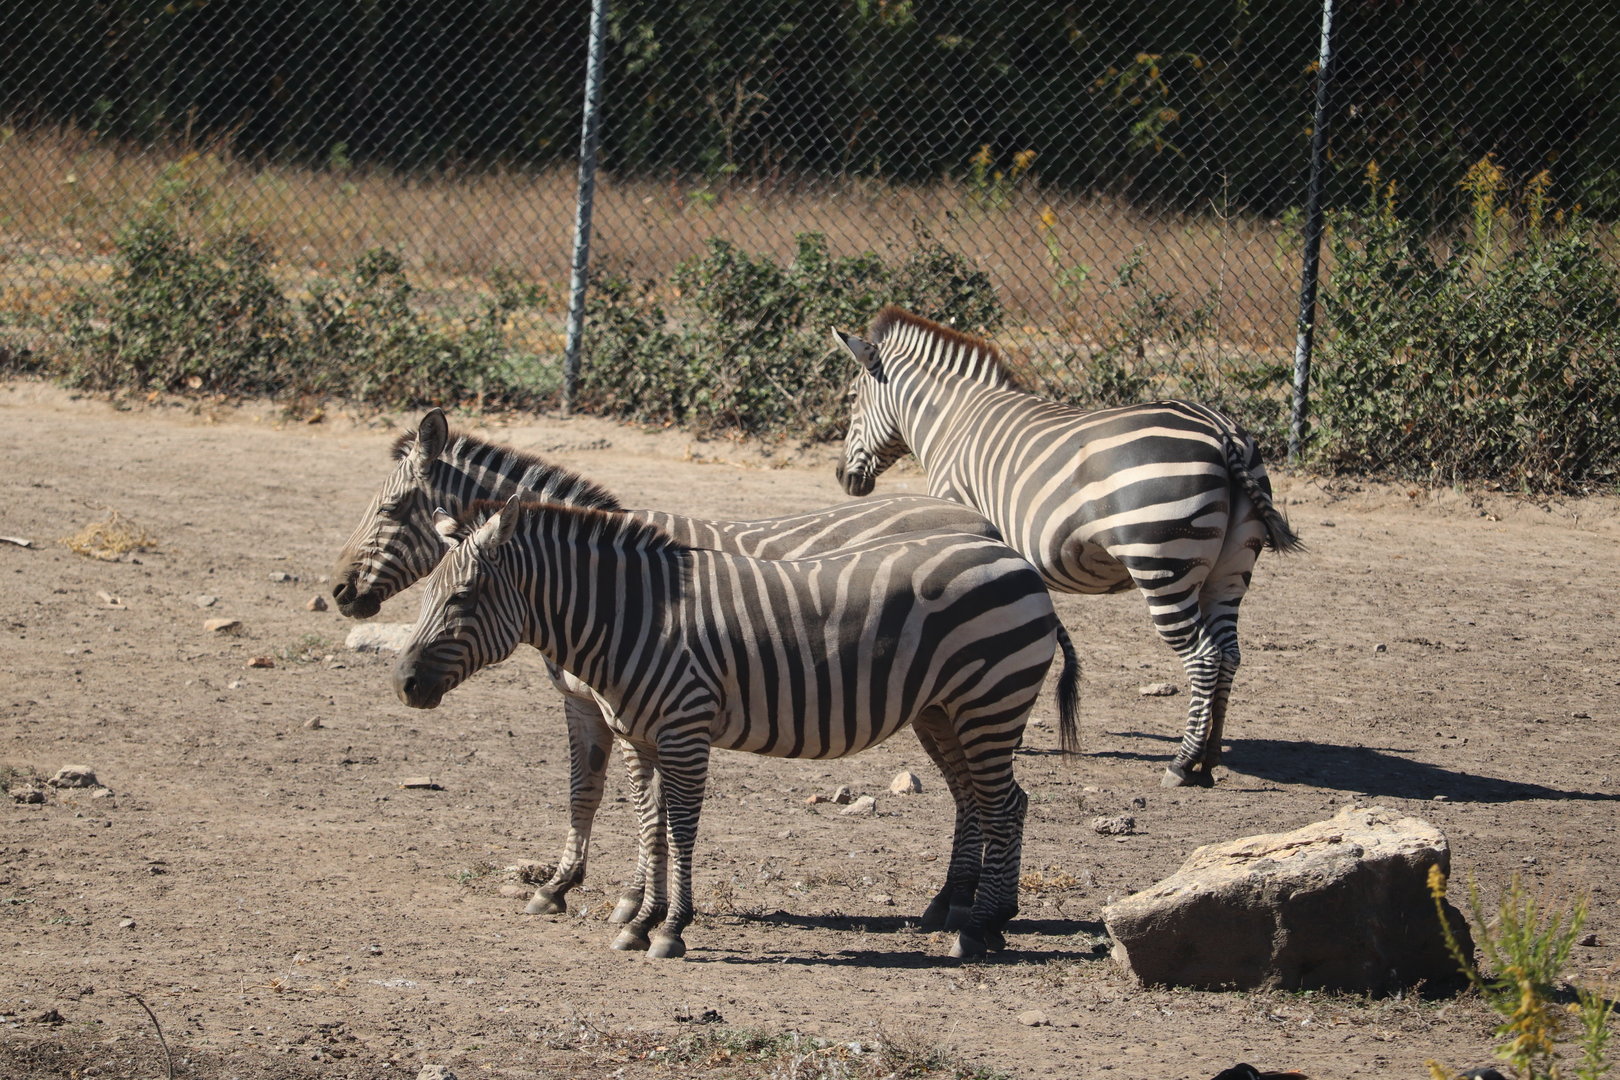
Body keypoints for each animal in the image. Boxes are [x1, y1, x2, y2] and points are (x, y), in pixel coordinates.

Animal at [393, 494, 1078, 959]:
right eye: (426, 594)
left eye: (461, 598)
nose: (403, 683)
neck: (634, 617)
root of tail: (1013, 557)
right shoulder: (639, 736)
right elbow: (649, 825)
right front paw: (638, 919)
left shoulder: (685, 729)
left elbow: (681, 829)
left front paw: (670, 929)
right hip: (943, 711)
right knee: (984, 800)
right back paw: (964, 911)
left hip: (989, 702)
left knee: (1005, 804)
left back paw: (981, 927)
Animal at [833, 306, 1303, 788]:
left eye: (852, 398)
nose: (844, 479)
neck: (954, 420)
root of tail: (1222, 431)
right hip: (1229, 572)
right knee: (1229, 654)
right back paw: (1209, 758)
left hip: (1162, 566)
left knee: (1204, 657)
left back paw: (1181, 762)